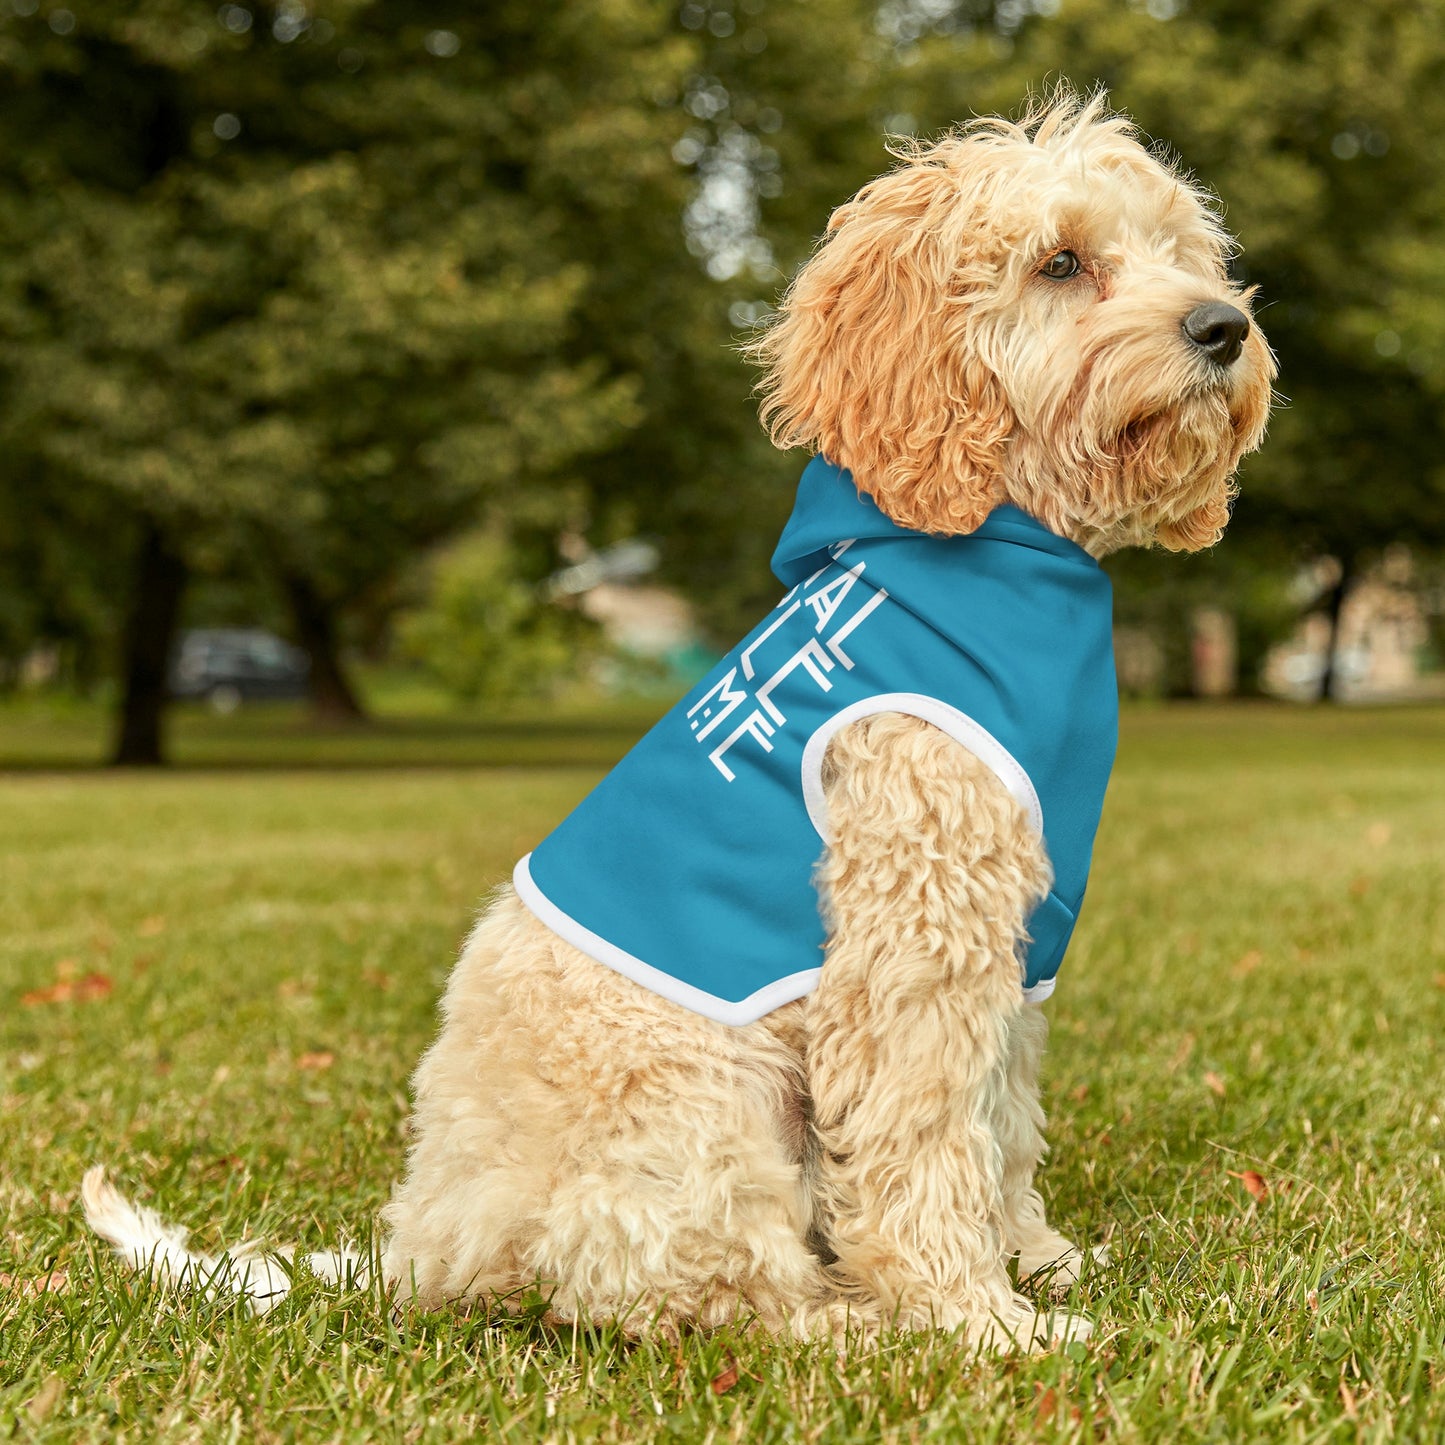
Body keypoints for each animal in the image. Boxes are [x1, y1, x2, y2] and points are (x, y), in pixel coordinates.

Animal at [84, 93, 1271, 1352]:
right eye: (1059, 262)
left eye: (1180, 252)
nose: (1222, 327)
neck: (994, 543)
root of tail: (424, 1245)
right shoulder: (913, 936)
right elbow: (924, 1138)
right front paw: (976, 1318)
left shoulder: (1013, 943)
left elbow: (999, 1121)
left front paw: (1034, 1260)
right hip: (704, 1102)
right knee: (698, 1290)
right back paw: (852, 1322)